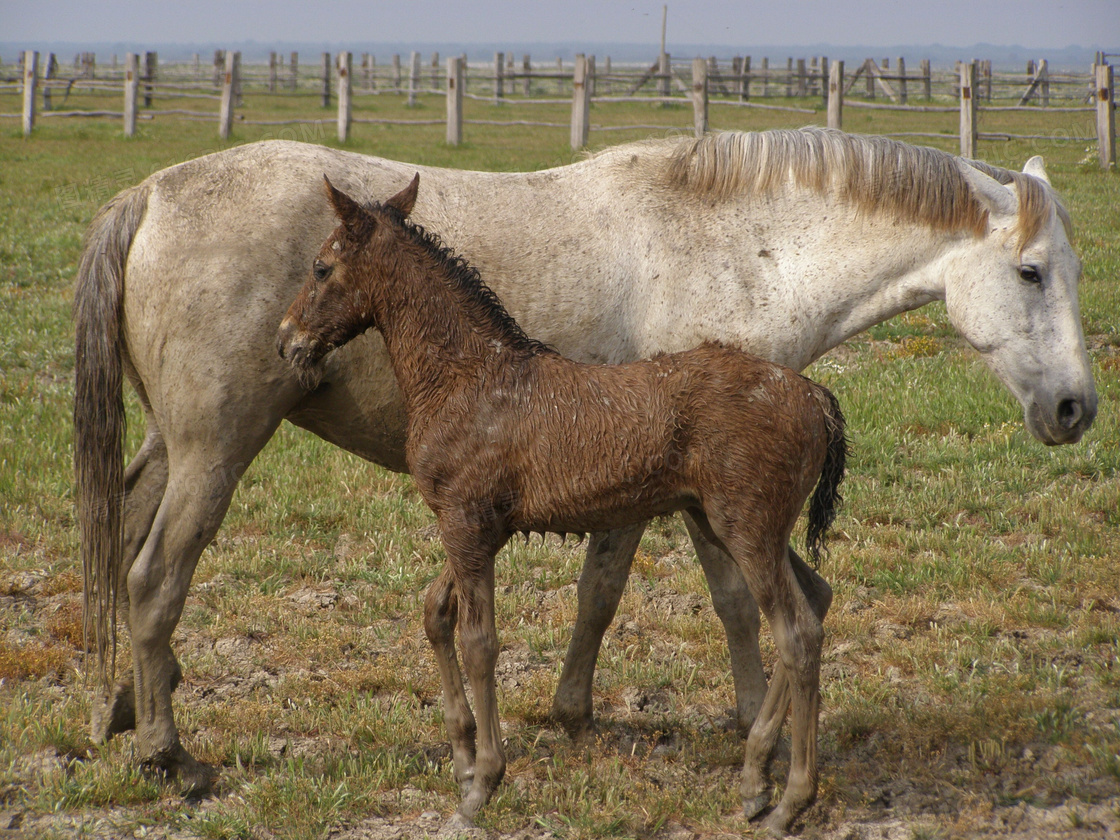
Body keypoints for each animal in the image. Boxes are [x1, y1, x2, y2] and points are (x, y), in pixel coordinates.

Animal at [76, 128, 1093, 797]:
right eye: (1033, 273)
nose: (1076, 409)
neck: (743, 245)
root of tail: (150, 194)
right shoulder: (692, 498)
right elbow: (713, 602)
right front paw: (735, 729)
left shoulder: (656, 487)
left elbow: (613, 593)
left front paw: (579, 713)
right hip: (216, 449)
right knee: (157, 577)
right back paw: (170, 756)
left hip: (175, 444)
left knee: (126, 552)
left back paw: (119, 711)